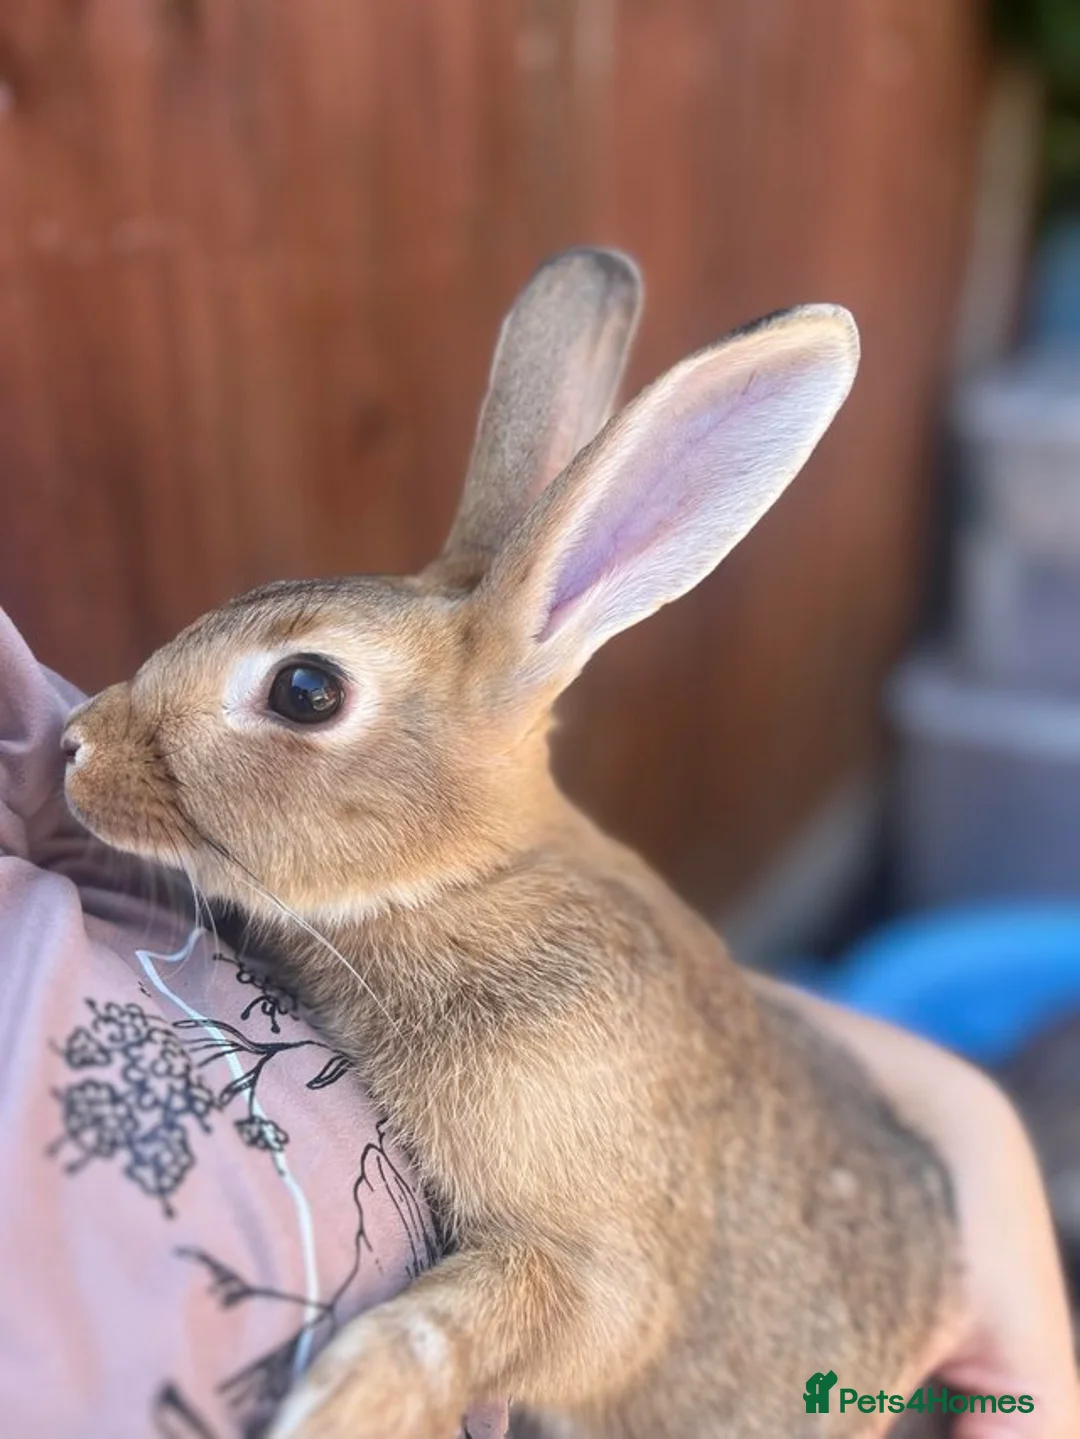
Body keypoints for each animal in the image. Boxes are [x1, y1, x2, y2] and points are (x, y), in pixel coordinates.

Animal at [62, 247, 961, 1438]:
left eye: (306, 689)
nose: (73, 746)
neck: (462, 879)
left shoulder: (594, 1258)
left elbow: (506, 1320)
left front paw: (339, 1405)